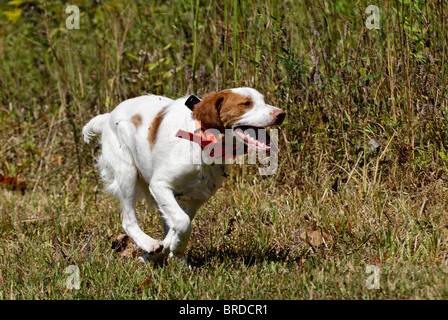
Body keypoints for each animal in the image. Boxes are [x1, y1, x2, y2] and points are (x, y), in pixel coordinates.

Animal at [82, 88, 286, 262]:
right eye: (246, 103)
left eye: (263, 100)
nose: (281, 114)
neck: (202, 143)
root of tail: (108, 117)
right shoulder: (160, 185)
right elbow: (182, 223)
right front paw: (169, 249)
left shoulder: (194, 199)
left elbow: (177, 227)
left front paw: (171, 252)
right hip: (127, 173)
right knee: (128, 221)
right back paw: (149, 244)